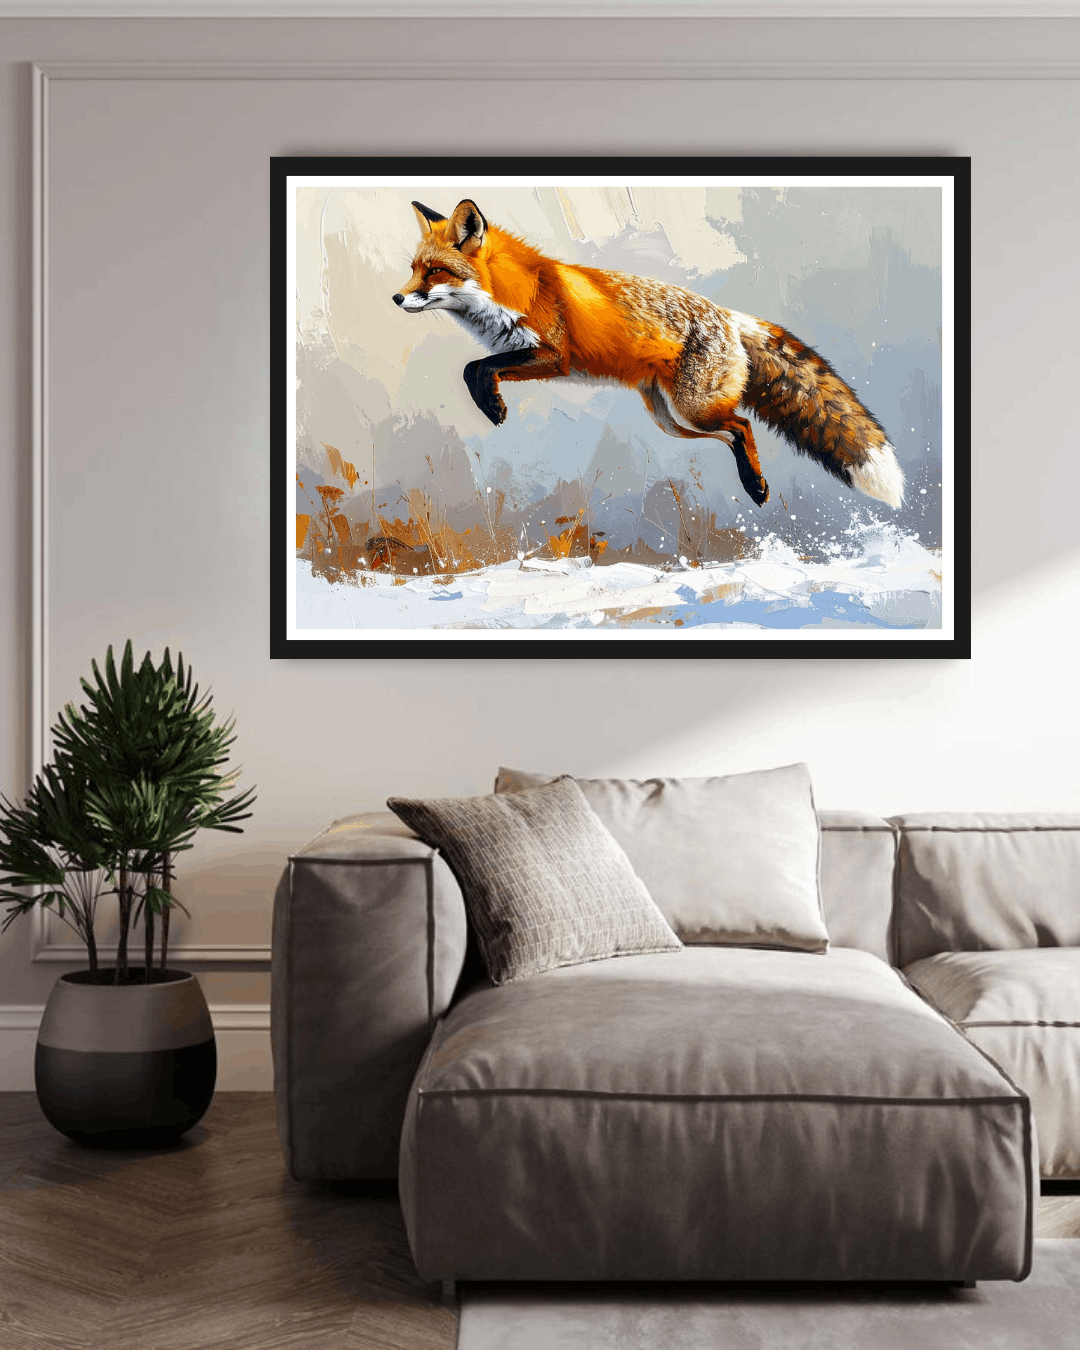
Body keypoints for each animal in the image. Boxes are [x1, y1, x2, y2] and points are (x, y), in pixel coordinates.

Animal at [392, 199, 904, 510]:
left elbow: (476, 366)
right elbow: (477, 366)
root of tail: (729, 316)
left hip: (692, 409)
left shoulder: (554, 356)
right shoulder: (529, 355)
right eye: (414, 269)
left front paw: (492, 406)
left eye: (434, 272)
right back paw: (753, 484)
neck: (516, 292)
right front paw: (491, 403)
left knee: (742, 424)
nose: (396, 299)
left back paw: (756, 486)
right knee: (733, 433)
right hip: (671, 420)